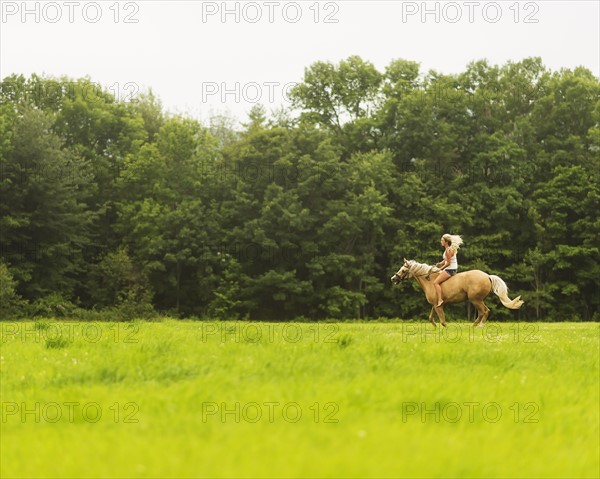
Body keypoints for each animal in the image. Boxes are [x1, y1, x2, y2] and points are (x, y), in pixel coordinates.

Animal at [392, 260, 524, 328]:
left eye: (403, 270)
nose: (393, 278)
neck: (429, 280)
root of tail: (487, 276)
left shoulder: (438, 306)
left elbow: (443, 321)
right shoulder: (436, 305)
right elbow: (431, 318)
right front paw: (435, 328)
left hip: (475, 300)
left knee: (484, 311)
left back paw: (478, 326)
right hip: (477, 300)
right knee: (482, 312)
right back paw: (473, 326)